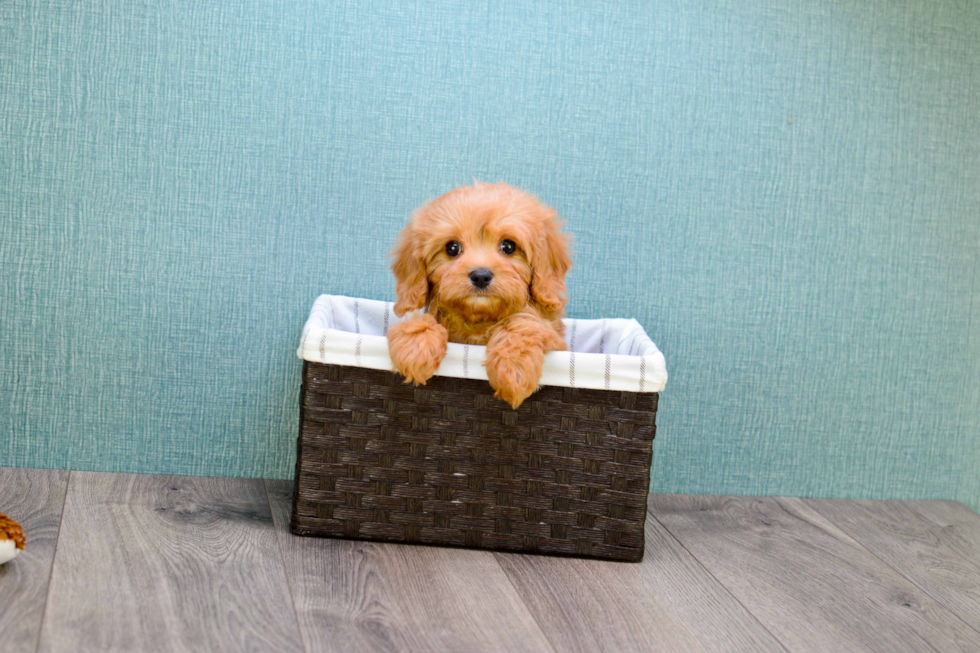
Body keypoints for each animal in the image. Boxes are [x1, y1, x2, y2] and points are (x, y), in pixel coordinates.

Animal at [386, 182, 572, 408]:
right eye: (452, 248)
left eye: (508, 246)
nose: (481, 276)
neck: (479, 320)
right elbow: (424, 321)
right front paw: (416, 346)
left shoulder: (556, 340)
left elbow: (523, 323)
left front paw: (514, 368)